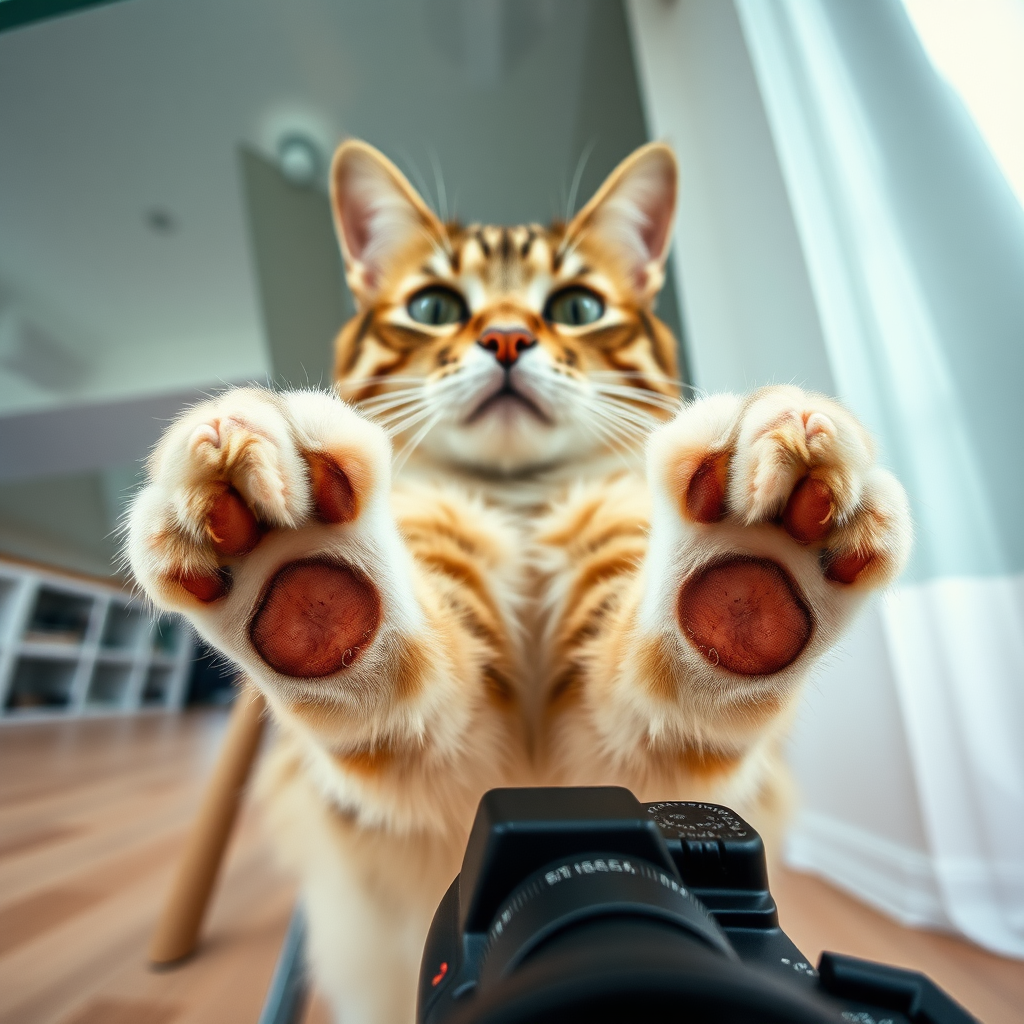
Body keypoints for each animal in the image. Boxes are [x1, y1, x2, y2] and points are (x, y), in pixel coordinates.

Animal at [125, 138, 913, 1024]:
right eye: (434, 306)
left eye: (577, 306)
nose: (505, 338)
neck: (521, 509)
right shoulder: (434, 757)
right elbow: (385, 677)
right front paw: (280, 522)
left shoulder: (629, 744)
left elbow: (680, 684)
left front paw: (764, 515)